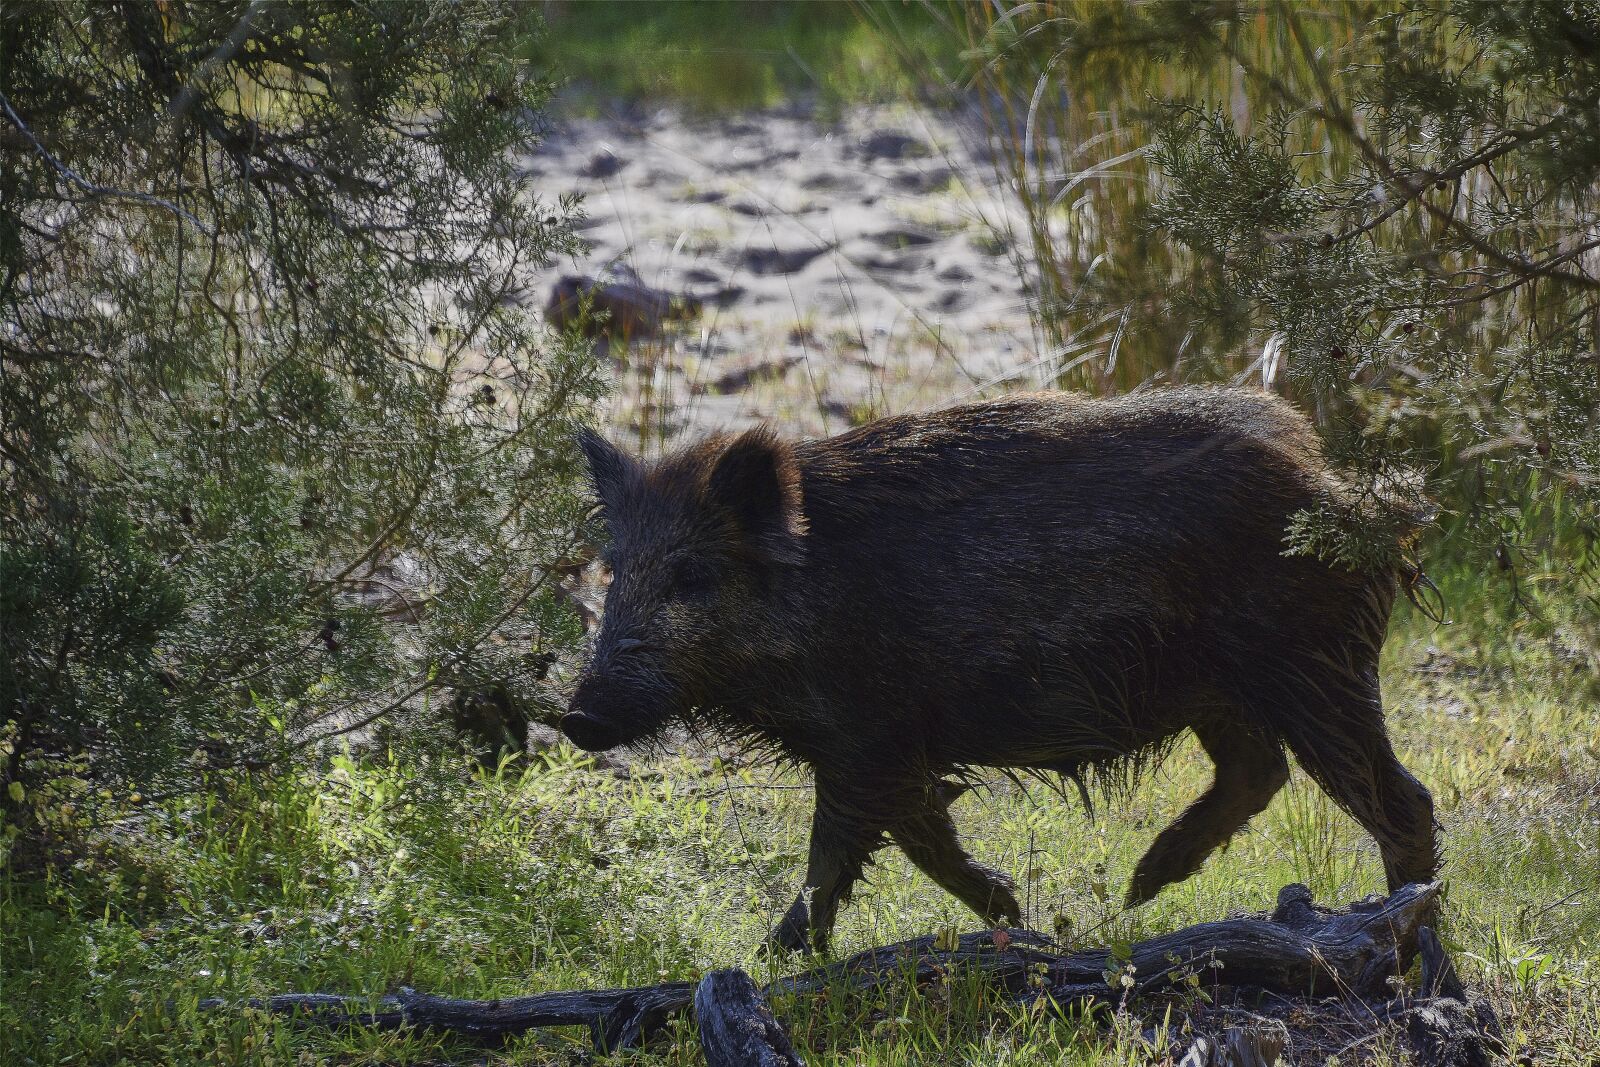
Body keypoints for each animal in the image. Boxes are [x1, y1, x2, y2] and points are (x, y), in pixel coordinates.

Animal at [562, 388, 1438, 951]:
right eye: (614, 569)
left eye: (693, 576)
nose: (578, 717)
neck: (814, 598)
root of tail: (1357, 505)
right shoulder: (893, 748)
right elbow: (921, 836)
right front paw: (1018, 915)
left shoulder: (867, 737)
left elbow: (834, 854)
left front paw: (770, 959)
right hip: (1224, 691)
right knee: (1259, 770)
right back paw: (1141, 886)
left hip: (1311, 667)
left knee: (1402, 799)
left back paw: (1413, 937)